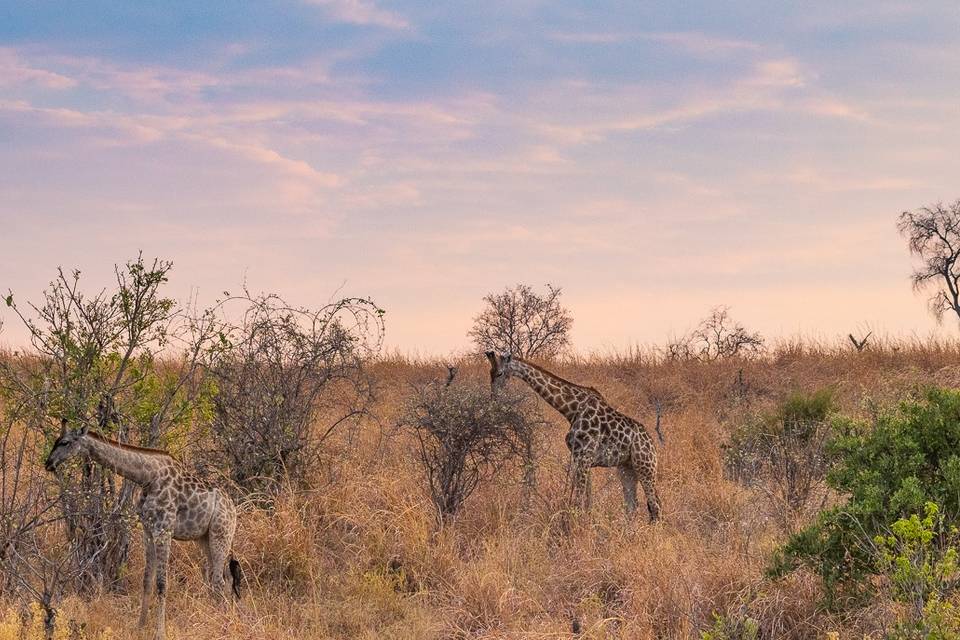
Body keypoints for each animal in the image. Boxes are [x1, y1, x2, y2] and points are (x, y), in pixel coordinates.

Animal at [45, 420, 242, 640]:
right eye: (56, 440)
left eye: (65, 442)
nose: (48, 463)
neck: (146, 477)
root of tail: (233, 508)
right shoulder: (148, 531)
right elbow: (147, 581)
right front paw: (140, 626)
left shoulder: (164, 530)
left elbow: (162, 583)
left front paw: (160, 632)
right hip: (204, 538)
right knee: (222, 578)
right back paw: (218, 618)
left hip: (221, 533)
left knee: (219, 580)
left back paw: (223, 625)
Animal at [488, 352, 660, 524]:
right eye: (490, 373)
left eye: (500, 373)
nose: (494, 398)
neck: (572, 409)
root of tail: (651, 444)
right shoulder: (580, 457)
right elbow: (586, 499)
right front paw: (586, 522)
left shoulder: (584, 456)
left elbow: (578, 498)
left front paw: (576, 525)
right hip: (626, 468)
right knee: (632, 505)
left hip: (645, 467)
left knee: (655, 503)